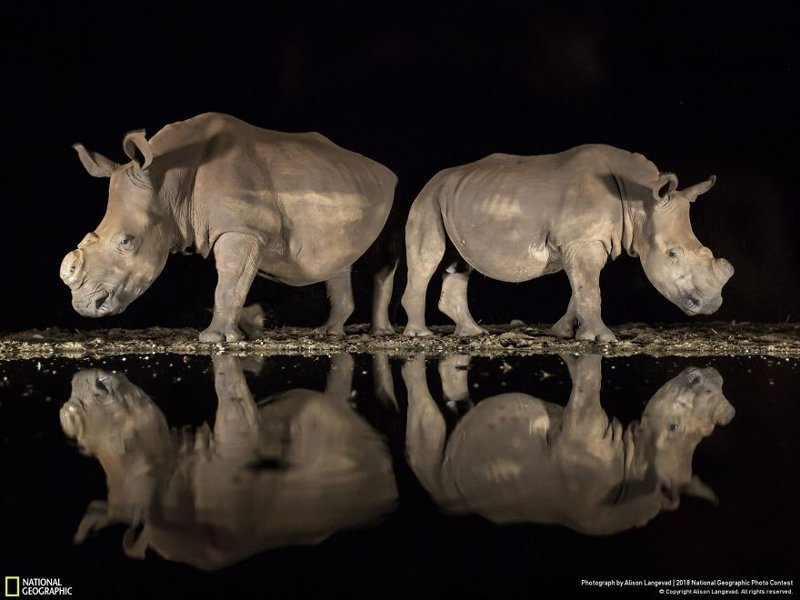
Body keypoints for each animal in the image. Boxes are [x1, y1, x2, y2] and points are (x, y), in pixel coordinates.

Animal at [61, 110, 398, 340]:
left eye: (126, 241)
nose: (84, 306)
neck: (168, 179)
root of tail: (382, 169)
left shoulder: (243, 228)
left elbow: (230, 279)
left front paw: (215, 338)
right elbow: (232, 280)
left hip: (392, 194)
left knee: (381, 260)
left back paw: (381, 334)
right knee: (340, 257)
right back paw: (328, 332)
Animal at [404, 144, 736, 340]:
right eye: (672, 255)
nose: (711, 304)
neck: (640, 198)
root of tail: (434, 180)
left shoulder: (587, 241)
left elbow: (581, 288)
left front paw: (563, 332)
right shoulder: (583, 240)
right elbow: (590, 289)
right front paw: (602, 339)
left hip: (455, 199)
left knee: (458, 261)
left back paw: (472, 333)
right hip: (428, 199)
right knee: (428, 258)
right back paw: (421, 336)